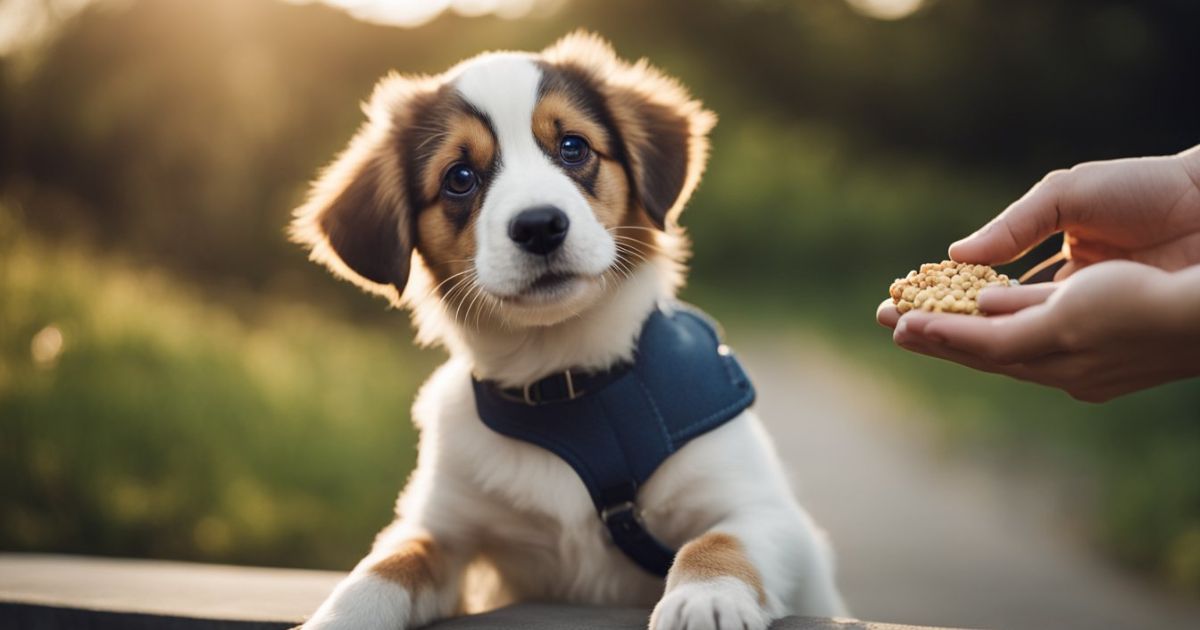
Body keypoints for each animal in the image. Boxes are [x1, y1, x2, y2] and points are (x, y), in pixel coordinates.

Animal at [292, 33, 844, 628]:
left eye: (574, 147)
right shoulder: (441, 527)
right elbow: (386, 564)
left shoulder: (765, 509)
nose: (539, 226)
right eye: (459, 178)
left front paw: (706, 596)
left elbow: (719, 540)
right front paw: (340, 615)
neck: (566, 381)